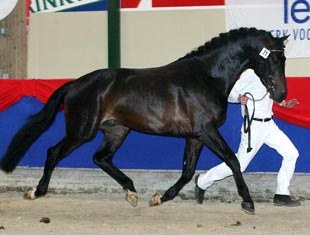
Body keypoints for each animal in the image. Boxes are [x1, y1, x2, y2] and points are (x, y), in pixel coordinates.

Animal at [0, 28, 288, 215]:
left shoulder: (195, 136)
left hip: (117, 130)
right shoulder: (206, 131)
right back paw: (36, 191)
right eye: (274, 58)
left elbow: (187, 171)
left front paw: (160, 197)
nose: (282, 94)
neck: (207, 77)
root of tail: (76, 84)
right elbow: (232, 160)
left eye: (283, 58)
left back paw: (131, 192)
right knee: (54, 152)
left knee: (101, 158)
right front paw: (248, 202)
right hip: (81, 131)